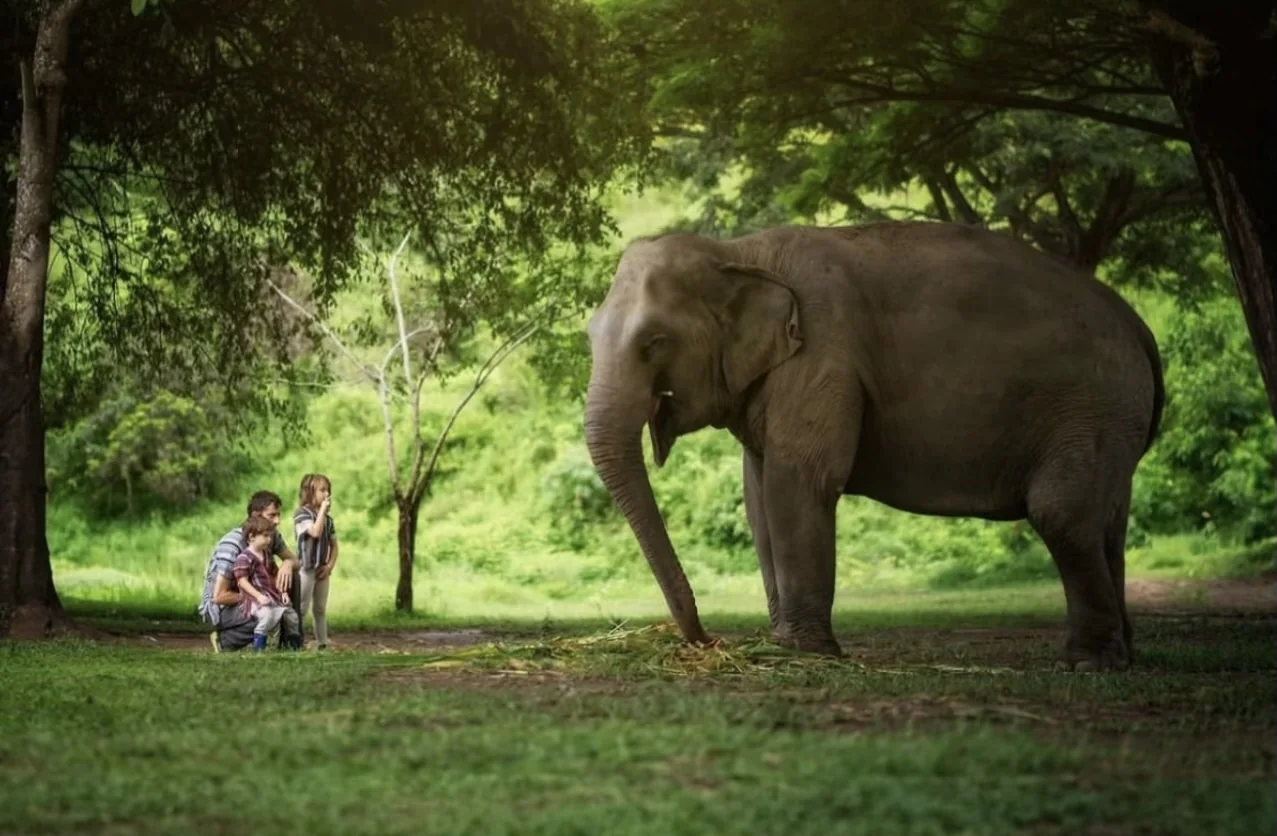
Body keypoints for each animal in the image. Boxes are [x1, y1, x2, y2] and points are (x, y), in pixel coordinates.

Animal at [583, 221, 1164, 671]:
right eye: (589, 336)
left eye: (654, 342)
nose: (705, 639)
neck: (739, 251)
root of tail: (1139, 327)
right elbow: (758, 496)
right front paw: (783, 646)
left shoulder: (822, 355)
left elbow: (800, 481)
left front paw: (806, 653)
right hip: (1111, 421)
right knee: (1105, 521)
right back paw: (1122, 656)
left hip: (1090, 406)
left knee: (1062, 514)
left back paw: (1087, 664)